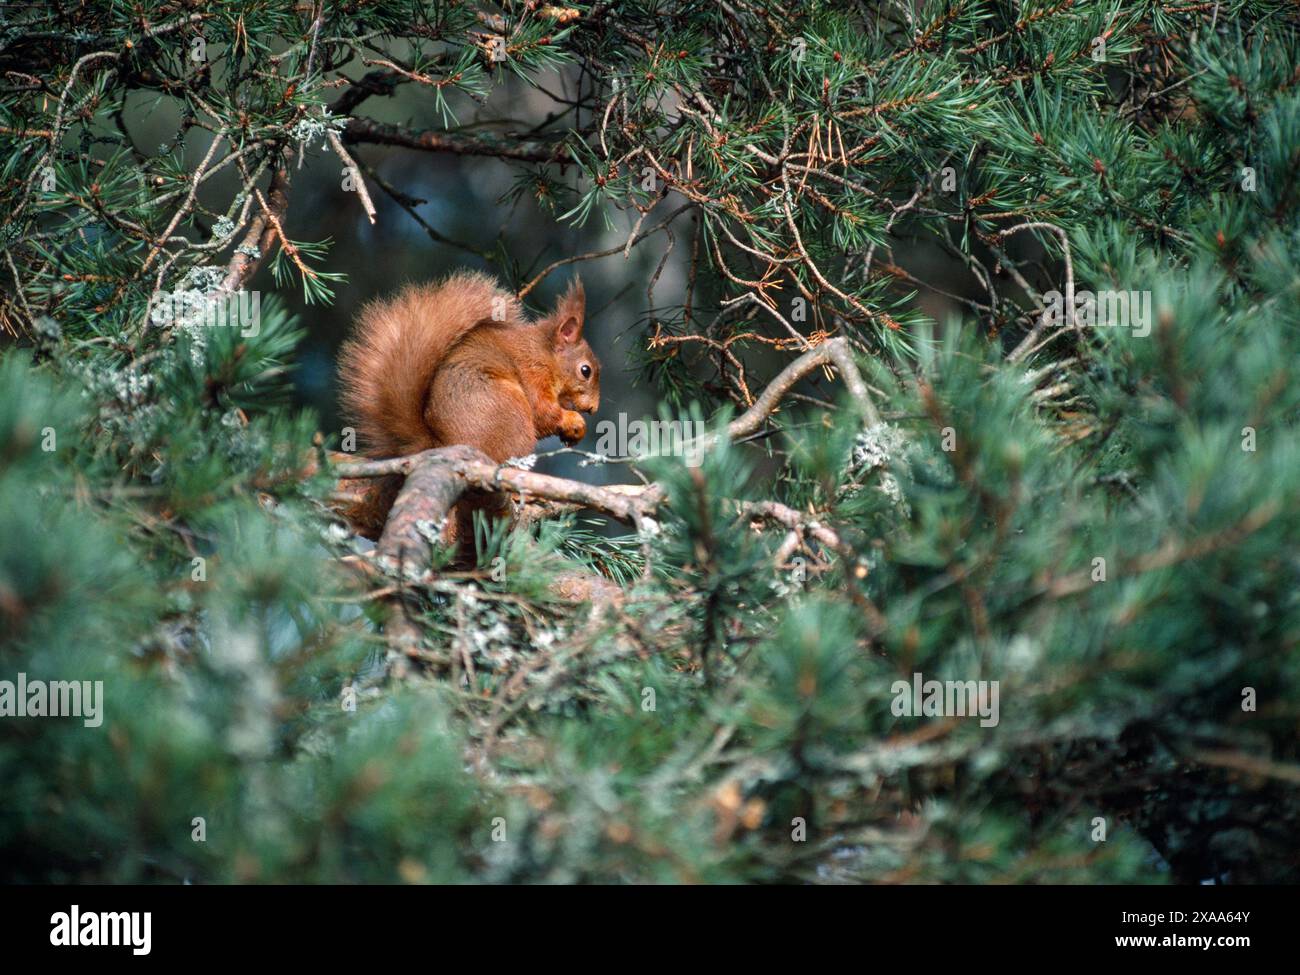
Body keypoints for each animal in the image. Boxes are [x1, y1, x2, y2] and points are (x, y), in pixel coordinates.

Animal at [335, 273, 598, 543]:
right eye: (585, 370)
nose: (593, 409)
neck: (545, 354)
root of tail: (439, 446)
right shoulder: (534, 374)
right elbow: (543, 414)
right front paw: (573, 422)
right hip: (513, 417)